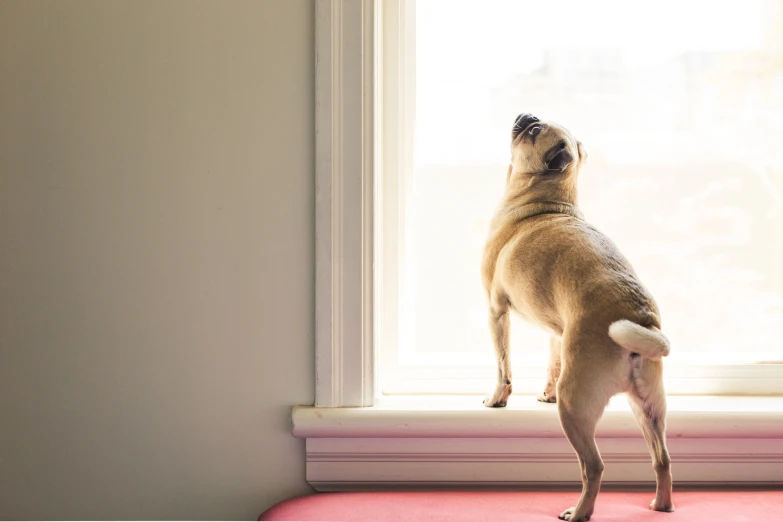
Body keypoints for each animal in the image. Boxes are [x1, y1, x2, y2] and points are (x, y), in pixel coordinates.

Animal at [484, 114, 672, 520]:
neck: (549, 202)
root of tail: (638, 315)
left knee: (594, 466)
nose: (526, 116)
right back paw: (661, 504)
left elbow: (503, 366)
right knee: (662, 459)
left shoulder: (496, 311)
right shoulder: (557, 334)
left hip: (575, 408)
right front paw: (545, 393)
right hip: (648, 407)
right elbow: (552, 363)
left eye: (535, 131)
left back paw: (580, 511)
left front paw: (497, 399)